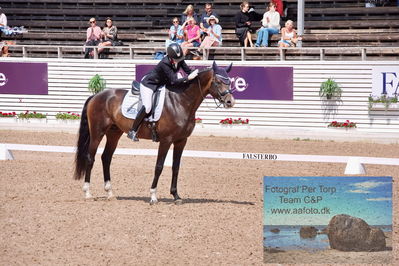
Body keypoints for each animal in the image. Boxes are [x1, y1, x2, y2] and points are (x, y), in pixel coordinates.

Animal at [74, 61, 236, 204]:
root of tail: (97, 95)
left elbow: (176, 167)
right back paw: (88, 193)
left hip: (114, 133)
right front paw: (153, 196)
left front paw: (176, 196)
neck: (181, 101)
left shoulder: (181, 141)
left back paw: (110, 193)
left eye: (229, 82)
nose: (230, 102)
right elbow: (159, 166)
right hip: (97, 132)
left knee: (106, 158)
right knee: (90, 158)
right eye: (217, 82)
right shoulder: (166, 140)